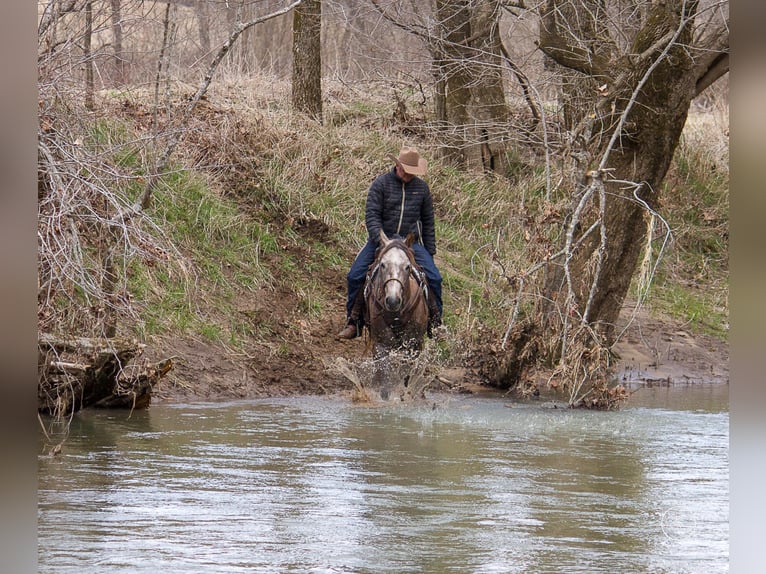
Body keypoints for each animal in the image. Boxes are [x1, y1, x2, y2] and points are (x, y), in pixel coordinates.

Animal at [364, 232, 432, 398]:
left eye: (407, 267)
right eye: (382, 264)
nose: (393, 300)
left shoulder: (413, 345)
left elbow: (406, 375)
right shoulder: (381, 345)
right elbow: (384, 377)